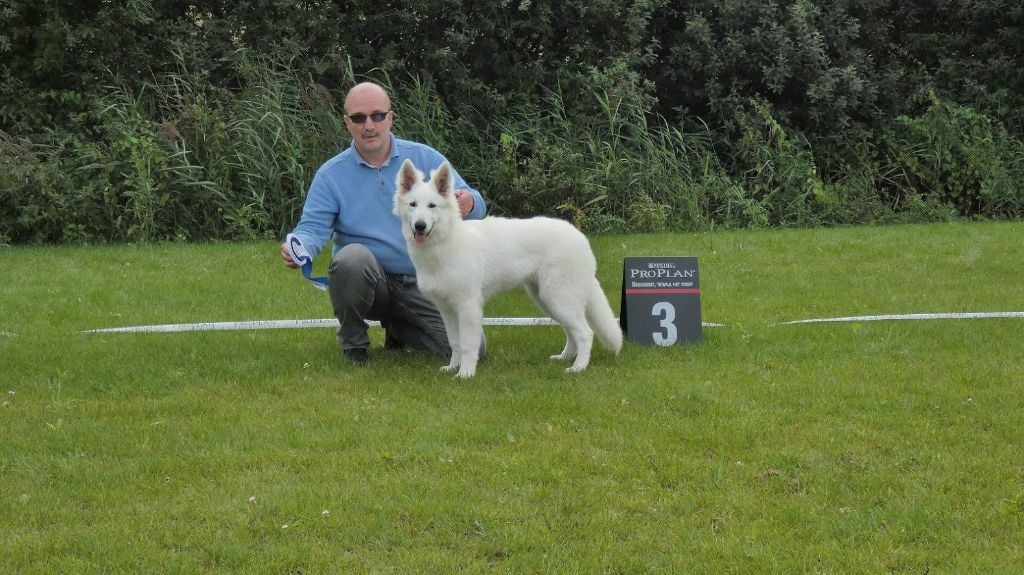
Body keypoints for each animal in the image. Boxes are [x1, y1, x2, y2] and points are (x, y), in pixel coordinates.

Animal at [393, 159, 623, 378]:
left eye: (432, 206)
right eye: (413, 204)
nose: (420, 226)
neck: (445, 243)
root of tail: (579, 237)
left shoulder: (468, 307)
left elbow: (467, 345)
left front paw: (465, 373)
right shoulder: (446, 309)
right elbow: (454, 342)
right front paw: (452, 368)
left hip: (558, 298)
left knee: (585, 333)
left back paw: (578, 367)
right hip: (548, 300)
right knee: (572, 331)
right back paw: (565, 357)